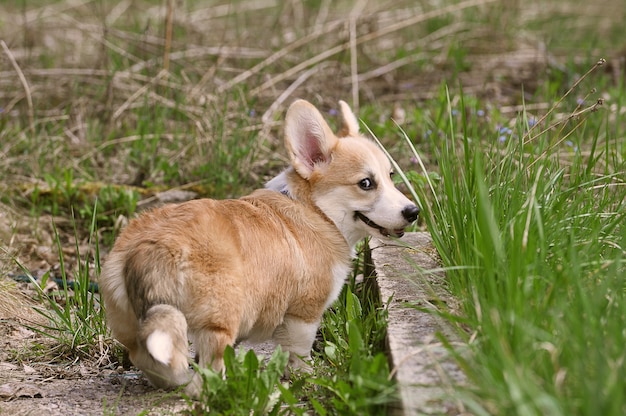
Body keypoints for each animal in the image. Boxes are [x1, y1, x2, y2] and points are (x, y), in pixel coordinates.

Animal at [98, 98, 420, 396]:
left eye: (390, 176)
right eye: (366, 183)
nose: (413, 212)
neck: (316, 210)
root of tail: (149, 246)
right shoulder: (303, 314)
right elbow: (298, 351)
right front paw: (306, 377)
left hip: (133, 324)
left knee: (148, 357)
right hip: (220, 318)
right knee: (210, 361)